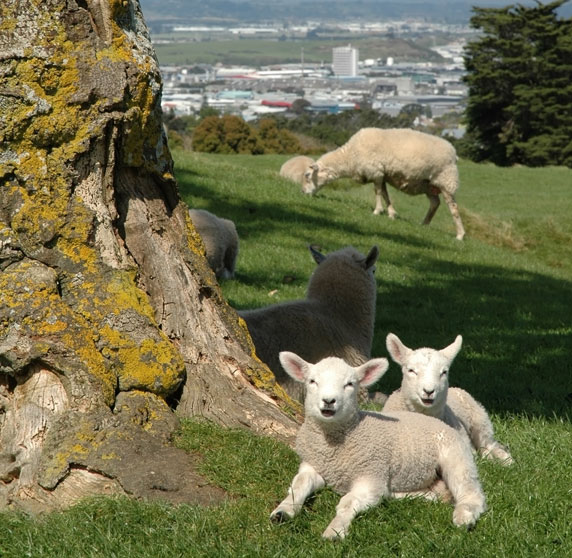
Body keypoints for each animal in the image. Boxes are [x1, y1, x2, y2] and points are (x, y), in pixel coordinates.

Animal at [270, 354, 484, 544]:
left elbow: (347, 502)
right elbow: (299, 484)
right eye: (312, 381)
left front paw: (335, 531)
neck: (334, 448)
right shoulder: (313, 466)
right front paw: (282, 511)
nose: (329, 401)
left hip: (455, 456)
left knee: (471, 492)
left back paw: (464, 517)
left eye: (350, 384)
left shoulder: (371, 476)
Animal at [302, 128, 466, 242]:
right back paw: (424, 224)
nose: (302, 192)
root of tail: (454, 154)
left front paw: (377, 211)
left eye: (308, 176)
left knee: (453, 207)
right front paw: (391, 213)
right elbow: (386, 195)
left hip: (446, 180)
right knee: (435, 203)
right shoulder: (382, 174)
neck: (350, 157)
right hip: (429, 185)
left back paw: (460, 235)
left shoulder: (376, 171)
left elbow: (378, 192)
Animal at [384, 334, 512, 466]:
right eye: (411, 370)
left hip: (481, 422)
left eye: (444, 372)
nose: (429, 391)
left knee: (490, 444)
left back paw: (505, 460)